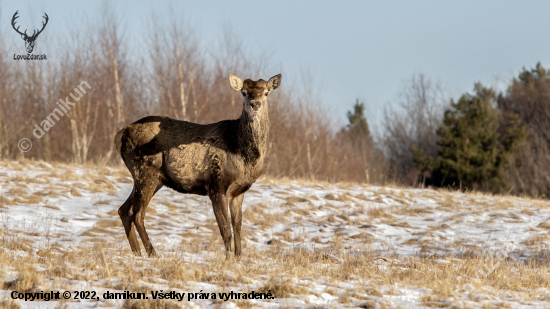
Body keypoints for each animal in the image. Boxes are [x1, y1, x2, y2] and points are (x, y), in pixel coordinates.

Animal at [115, 72, 282, 258]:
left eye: (266, 93)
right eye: (244, 92)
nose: (255, 104)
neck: (244, 156)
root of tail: (122, 133)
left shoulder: (239, 191)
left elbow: (238, 228)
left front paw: (239, 258)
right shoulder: (216, 186)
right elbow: (226, 230)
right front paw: (228, 259)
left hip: (152, 178)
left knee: (124, 210)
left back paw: (137, 254)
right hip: (145, 170)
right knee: (137, 214)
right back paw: (153, 254)